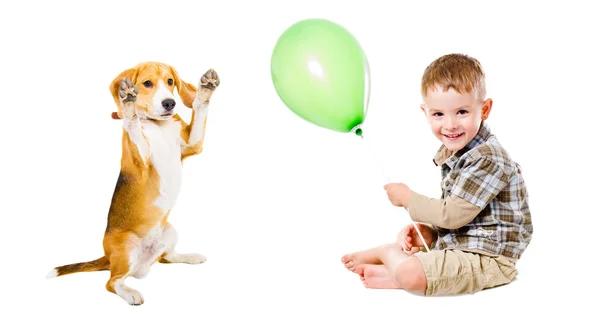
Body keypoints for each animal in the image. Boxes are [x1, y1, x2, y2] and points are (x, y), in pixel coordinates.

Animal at [47, 60, 220, 304]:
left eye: (170, 81)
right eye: (147, 83)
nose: (170, 103)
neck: (158, 125)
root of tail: (109, 257)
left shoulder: (192, 144)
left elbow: (199, 108)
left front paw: (205, 90)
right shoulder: (143, 163)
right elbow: (134, 125)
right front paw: (128, 104)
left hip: (170, 231)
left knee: (167, 257)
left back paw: (190, 256)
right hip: (127, 249)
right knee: (111, 282)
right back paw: (130, 293)